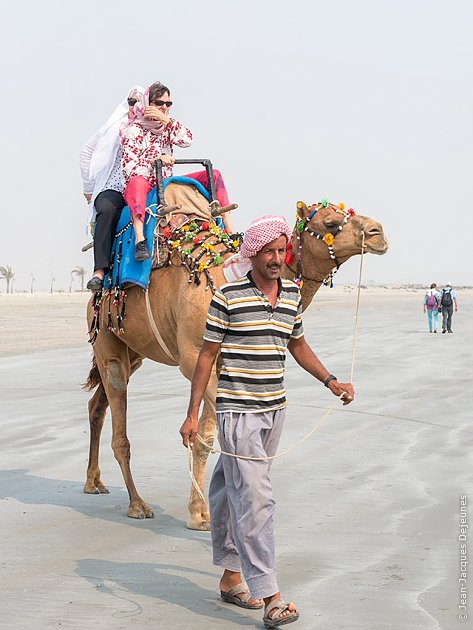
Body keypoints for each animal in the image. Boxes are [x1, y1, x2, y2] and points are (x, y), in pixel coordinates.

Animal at [84, 194, 388, 532]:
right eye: (330, 223)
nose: (378, 232)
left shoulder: (217, 363)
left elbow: (205, 438)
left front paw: (202, 513)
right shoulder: (195, 356)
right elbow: (213, 435)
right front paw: (204, 514)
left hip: (133, 350)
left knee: (97, 405)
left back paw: (93, 482)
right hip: (106, 335)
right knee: (117, 415)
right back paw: (137, 504)